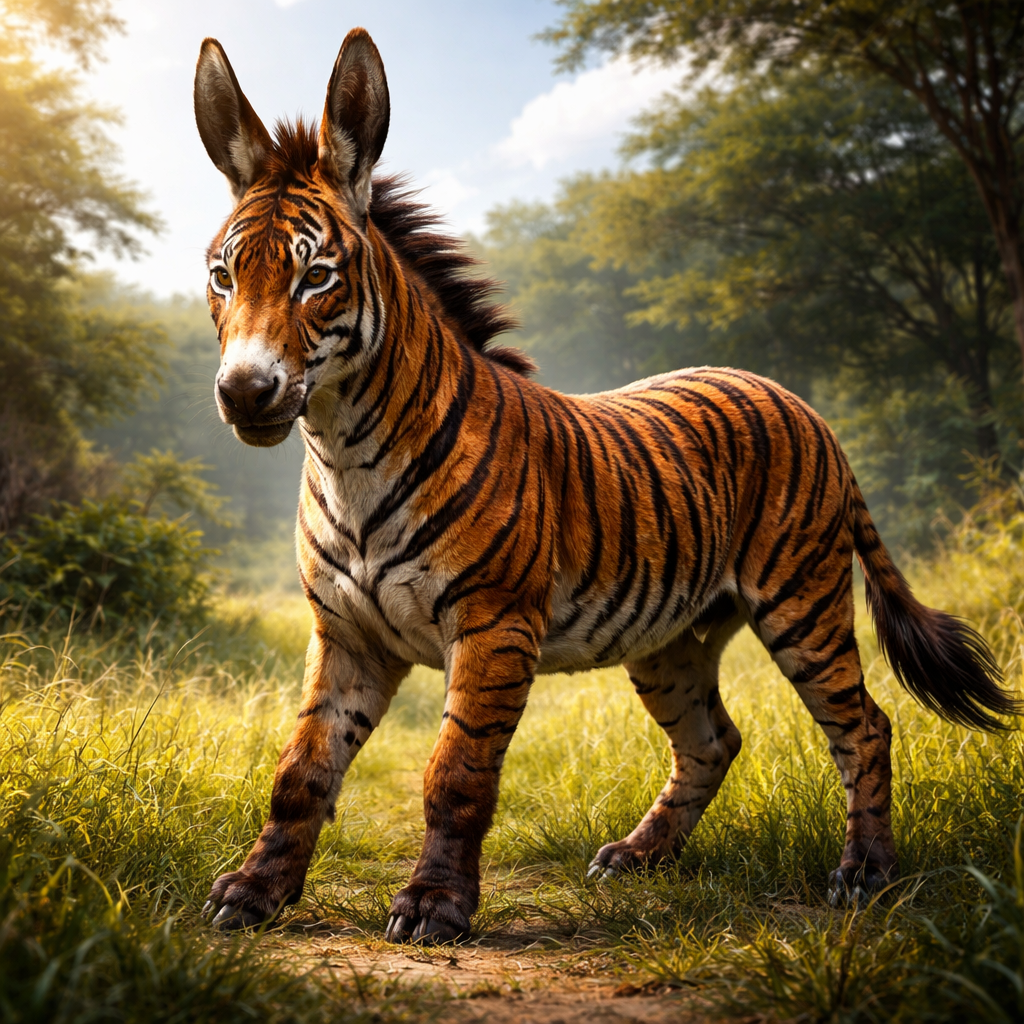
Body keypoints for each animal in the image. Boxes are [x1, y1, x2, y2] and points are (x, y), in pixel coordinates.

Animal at [194, 28, 1021, 943]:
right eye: (224, 276)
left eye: (317, 277)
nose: (244, 392)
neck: (346, 455)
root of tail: (790, 393)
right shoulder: (346, 633)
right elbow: (301, 770)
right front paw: (254, 892)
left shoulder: (493, 628)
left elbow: (456, 773)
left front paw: (435, 906)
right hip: (672, 639)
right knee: (713, 739)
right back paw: (637, 857)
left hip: (802, 604)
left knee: (864, 726)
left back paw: (865, 875)